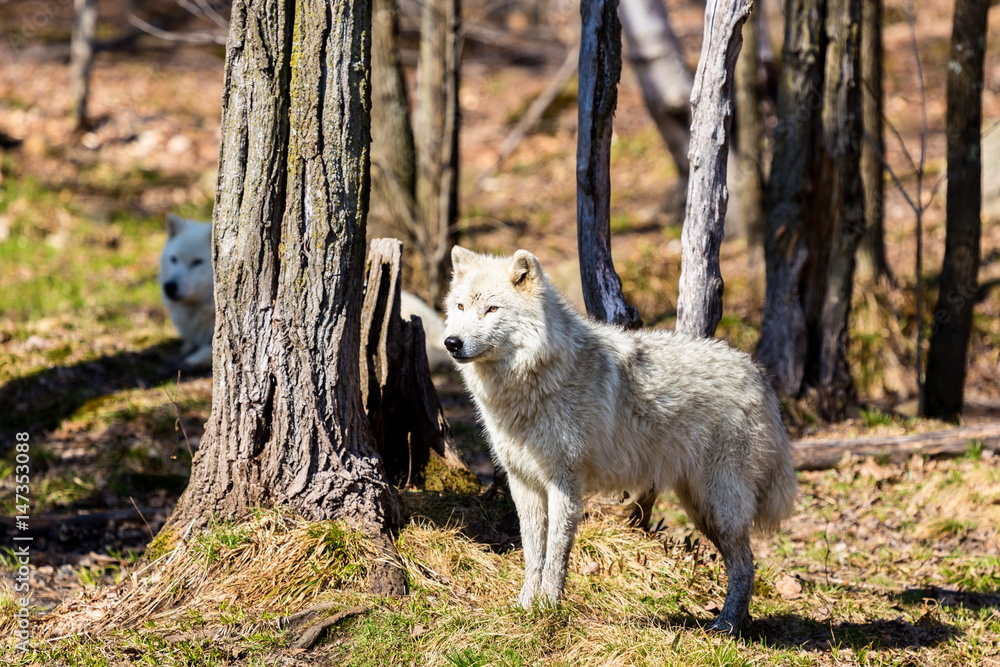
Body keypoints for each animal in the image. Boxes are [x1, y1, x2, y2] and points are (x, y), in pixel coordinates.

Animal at [443, 246, 797, 634]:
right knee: (743, 563)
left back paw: (727, 626)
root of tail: (758, 373)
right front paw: (524, 608)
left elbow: (555, 555)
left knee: (746, 565)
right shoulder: (523, 483)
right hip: (700, 507)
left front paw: (548, 609)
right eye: (460, 307)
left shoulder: (564, 483)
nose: (451, 343)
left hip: (720, 506)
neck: (533, 381)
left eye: (492, 309)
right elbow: (533, 554)